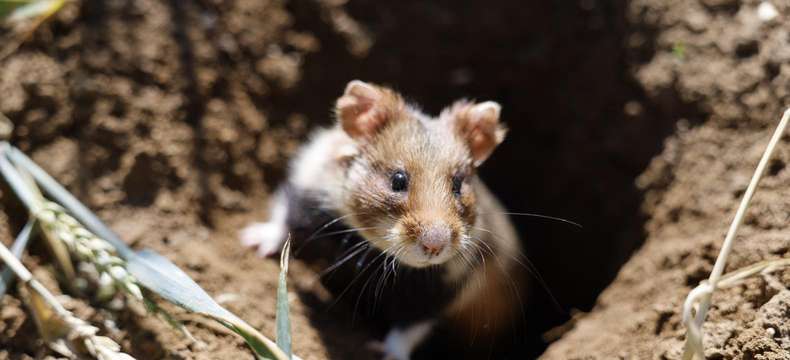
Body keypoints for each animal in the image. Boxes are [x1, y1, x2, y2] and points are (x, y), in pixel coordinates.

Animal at [241, 81, 524, 360]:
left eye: (458, 185)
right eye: (397, 179)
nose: (435, 245)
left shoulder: (438, 290)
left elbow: (408, 329)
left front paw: (383, 353)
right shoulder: (310, 186)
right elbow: (286, 218)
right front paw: (252, 241)